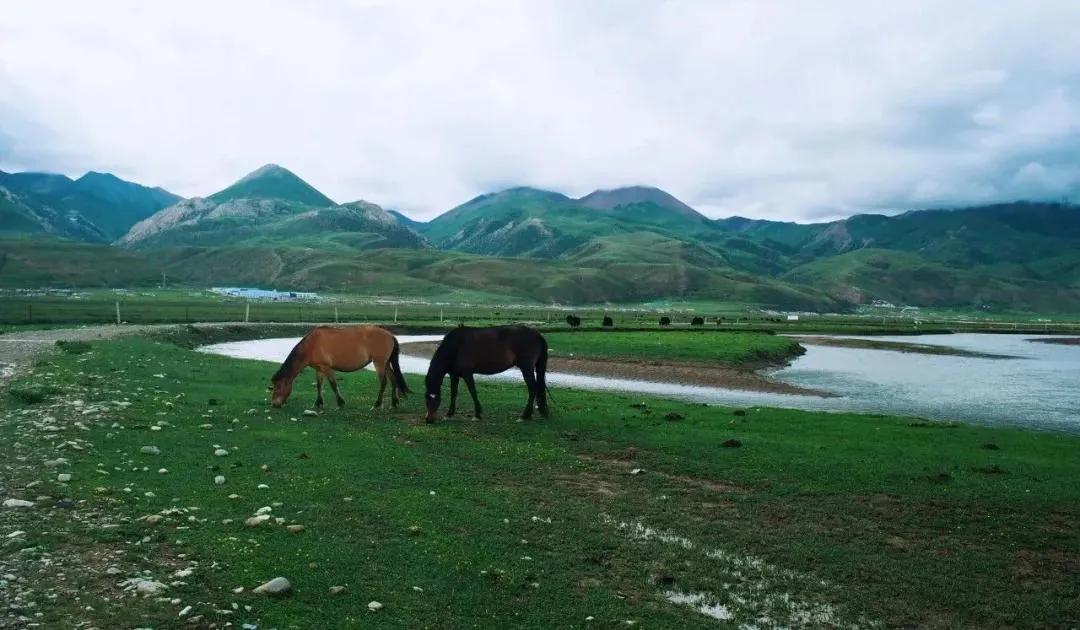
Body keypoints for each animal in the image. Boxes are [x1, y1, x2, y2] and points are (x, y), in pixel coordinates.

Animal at [270, 328, 408, 410]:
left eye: (278, 387)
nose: (275, 404)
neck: (312, 345)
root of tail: (390, 335)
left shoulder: (326, 368)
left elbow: (333, 384)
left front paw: (340, 402)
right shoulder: (319, 369)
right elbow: (319, 386)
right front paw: (318, 403)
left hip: (379, 363)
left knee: (384, 382)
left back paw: (377, 404)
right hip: (386, 364)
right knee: (393, 379)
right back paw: (394, 403)